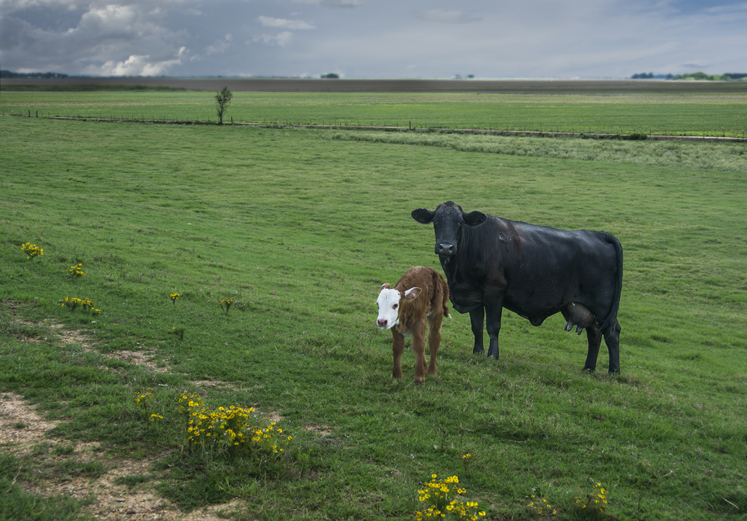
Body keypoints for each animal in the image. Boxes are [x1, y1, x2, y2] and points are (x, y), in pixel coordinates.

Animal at [412, 200, 624, 374]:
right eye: (436, 221)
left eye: (460, 222)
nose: (446, 247)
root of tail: (599, 234)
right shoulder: (473, 296)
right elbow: (477, 326)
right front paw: (477, 352)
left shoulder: (494, 292)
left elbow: (493, 326)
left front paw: (493, 355)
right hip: (590, 310)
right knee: (594, 334)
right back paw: (588, 367)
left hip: (603, 306)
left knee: (611, 333)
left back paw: (613, 371)